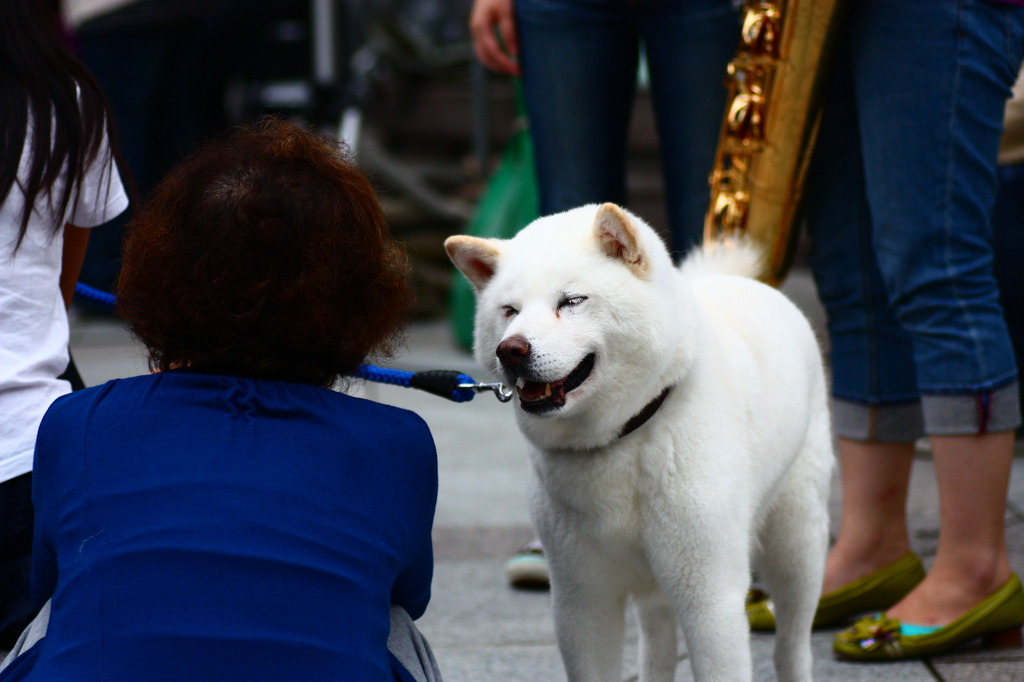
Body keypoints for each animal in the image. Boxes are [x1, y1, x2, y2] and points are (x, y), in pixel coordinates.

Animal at [446, 202, 831, 679]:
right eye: (509, 310)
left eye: (572, 301)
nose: (511, 349)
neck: (621, 436)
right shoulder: (580, 597)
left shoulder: (711, 597)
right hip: (654, 585)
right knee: (658, 642)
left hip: (796, 542)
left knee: (791, 643)